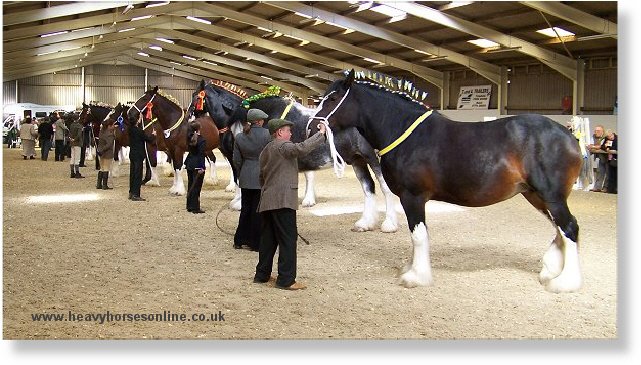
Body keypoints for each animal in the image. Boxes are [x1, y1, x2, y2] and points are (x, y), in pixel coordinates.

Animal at [308, 69, 584, 292]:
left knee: (569, 228)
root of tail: (570, 137)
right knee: (560, 229)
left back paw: (564, 282)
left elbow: (418, 235)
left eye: (332, 98)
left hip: (551, 197)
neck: (405, 132)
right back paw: (550, 270)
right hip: (536, 196)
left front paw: (416, 277)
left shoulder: (413, 197)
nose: (311, 127)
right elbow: (416, 235)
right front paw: (411, 268)